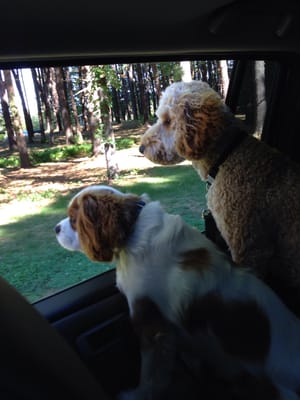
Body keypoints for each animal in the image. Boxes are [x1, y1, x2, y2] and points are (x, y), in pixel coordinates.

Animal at [55, 186, 300, 398]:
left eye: (73, 219)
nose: (56, 228)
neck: (132, 229)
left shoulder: (152, 326)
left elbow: (151, 375)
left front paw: (138, 394)